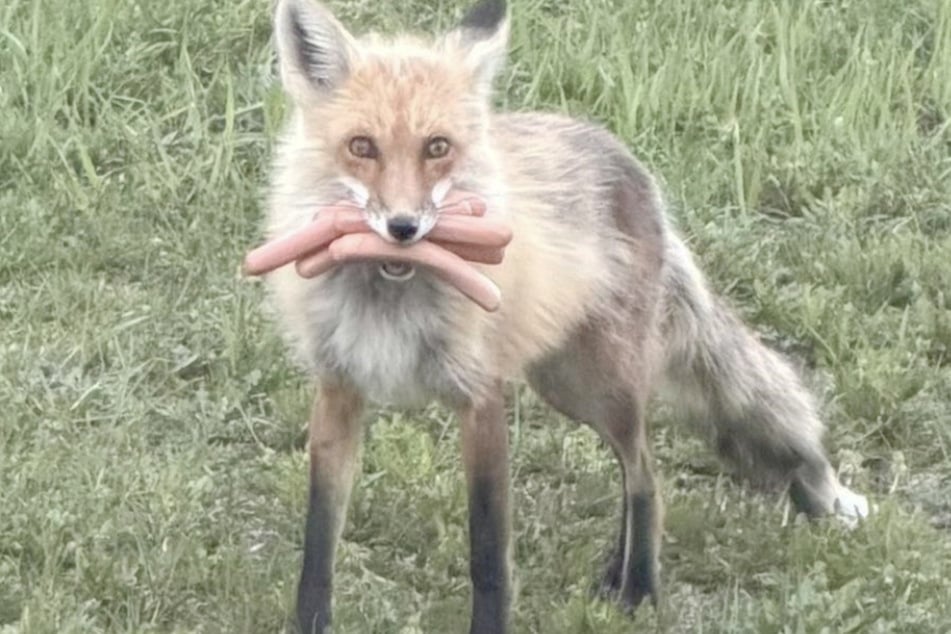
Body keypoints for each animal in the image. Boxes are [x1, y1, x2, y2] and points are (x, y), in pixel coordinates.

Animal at [259, 0, 869, 632]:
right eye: (362, 147)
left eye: (437, 147)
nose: (403, 228)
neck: (389, 296)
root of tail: (631, 164)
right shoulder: (338, 391)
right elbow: (318, 542)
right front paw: (309, 622)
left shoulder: (481, 397)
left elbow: (488, 553)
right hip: (563, 381)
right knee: (637, 470)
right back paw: (614, 573)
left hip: (599, 385)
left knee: (646, 476)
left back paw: (639, 589)